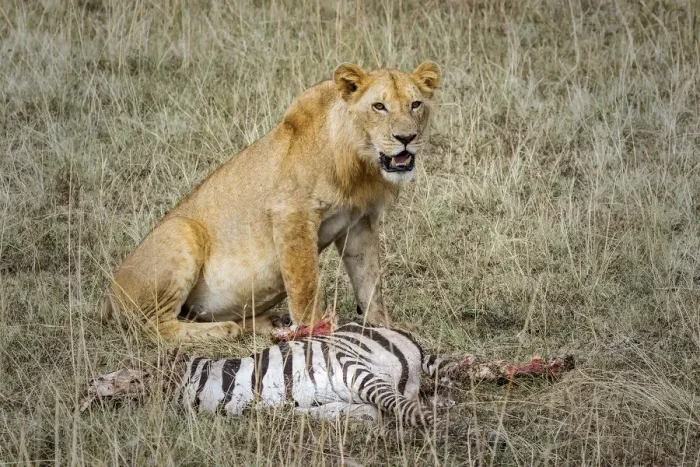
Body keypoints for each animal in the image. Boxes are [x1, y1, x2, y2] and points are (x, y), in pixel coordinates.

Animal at [104, 61, 441, 342]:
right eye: (379, 106)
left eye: (415, 104)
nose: (406, 138)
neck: (360, 166)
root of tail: (108, 299)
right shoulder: (292, 213)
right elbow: (305, 285)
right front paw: (314, 333)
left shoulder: (359, 223)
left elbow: (369, 282)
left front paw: (386, 327)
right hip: (180, 230)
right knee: (153, 327)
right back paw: (225, 330)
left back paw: (267, 323)